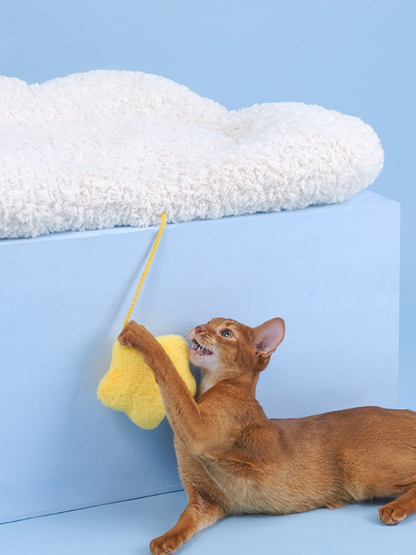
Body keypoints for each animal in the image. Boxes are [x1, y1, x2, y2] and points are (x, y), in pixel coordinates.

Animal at [118, 318, 416, 555]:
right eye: (208, 322)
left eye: (227, 333)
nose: (199, 328)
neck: (215, 388)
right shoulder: (207, 501)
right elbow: (185, 520)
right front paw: (167, 539)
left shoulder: (197, 430)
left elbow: (172, 378)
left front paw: (140, 335)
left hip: (360, 468)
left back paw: (393, 510)